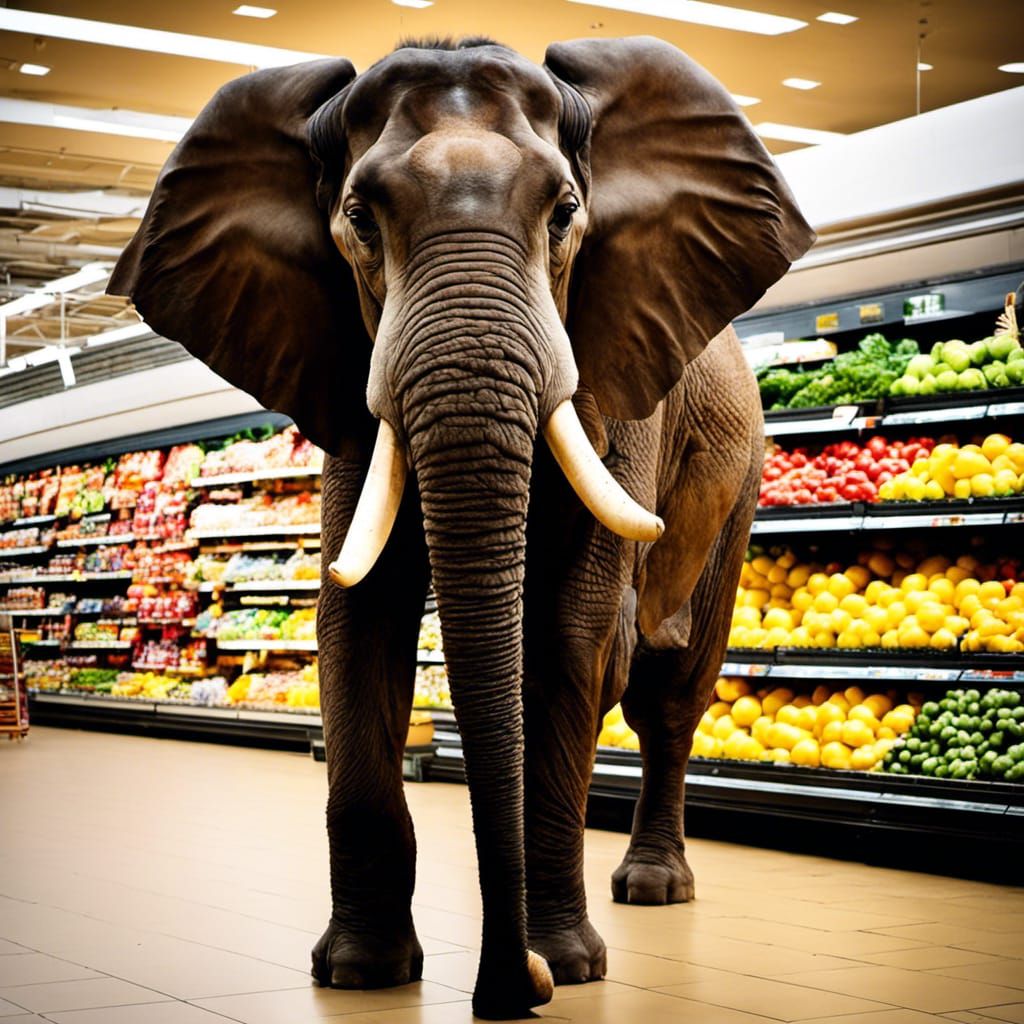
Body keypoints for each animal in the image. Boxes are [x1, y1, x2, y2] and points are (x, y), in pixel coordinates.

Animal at [109, 35, 813, 1020]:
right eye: (359, 219)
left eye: (566, 214)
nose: (518, 988)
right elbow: (357, 618)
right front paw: (359, 972)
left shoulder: (620, 385)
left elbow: (573, 633)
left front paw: (570, 966)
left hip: (742, 480)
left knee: (668, 691)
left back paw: (653, 889)